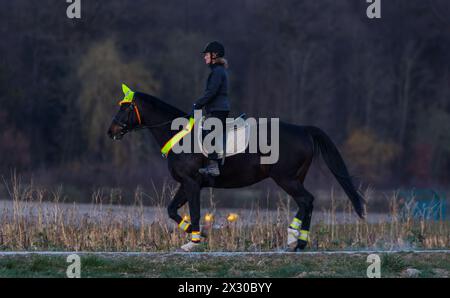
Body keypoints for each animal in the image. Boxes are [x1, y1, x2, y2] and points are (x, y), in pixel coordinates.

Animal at [109, 89, 366, 250]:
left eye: (126, 108)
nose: (111, 131)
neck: (179, 134)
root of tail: (303, 129)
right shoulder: (186, 183)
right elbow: (172, 210)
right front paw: (196, 233)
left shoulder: (192, 183)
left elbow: (194, 211)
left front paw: (194, 241)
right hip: (295, 178)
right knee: (305, 203)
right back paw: (295, 239)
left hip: (286, 179)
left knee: (307, 200)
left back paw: (298, 241)